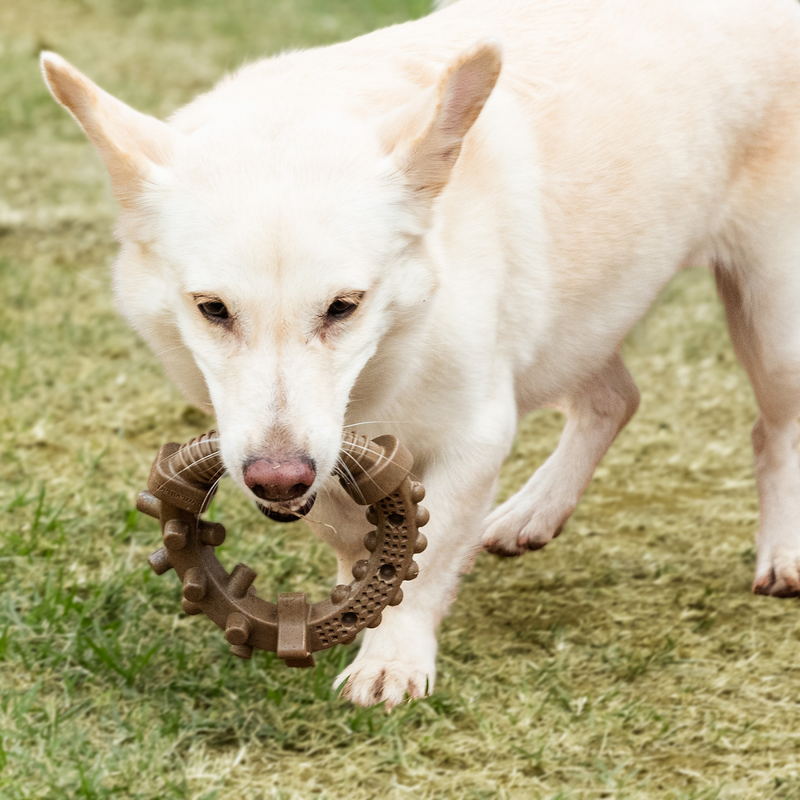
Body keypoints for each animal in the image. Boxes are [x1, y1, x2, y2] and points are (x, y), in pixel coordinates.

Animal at [40, 0, 800, 708]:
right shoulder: (308, 446)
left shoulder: (474, 437)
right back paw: (534, 512)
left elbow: (423, 563)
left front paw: (391, 659)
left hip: (772, 318)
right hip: (578, 319)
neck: (384, 364)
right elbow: (349, 526)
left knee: (775, 430)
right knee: (613, 398)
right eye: (213, 310)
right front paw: (352, 588)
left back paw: (783, 550)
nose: (276, 481)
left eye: (344, 306)